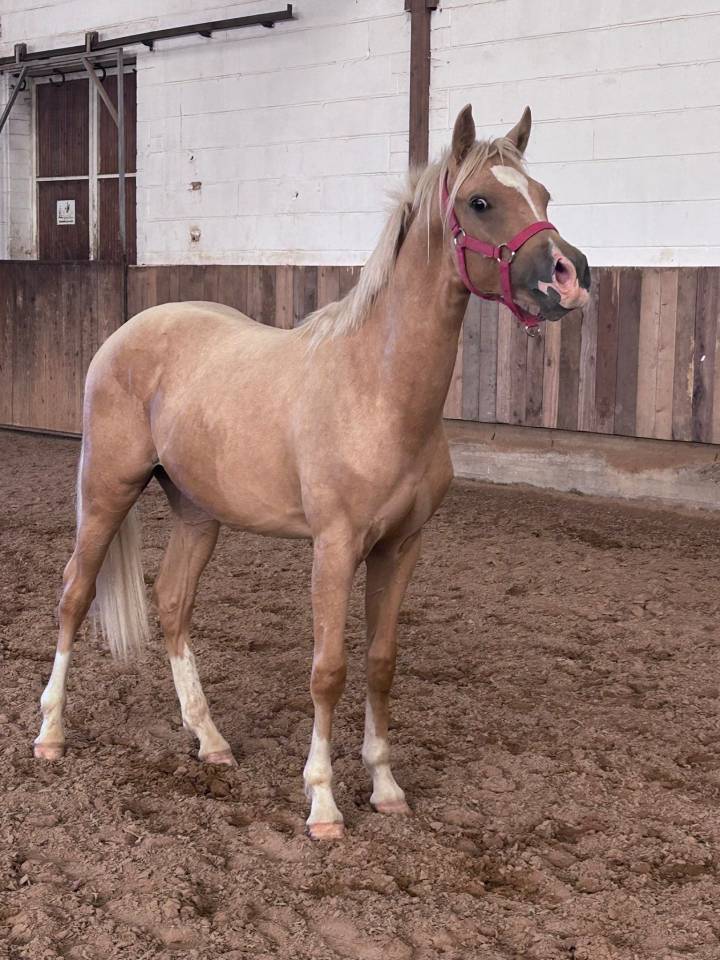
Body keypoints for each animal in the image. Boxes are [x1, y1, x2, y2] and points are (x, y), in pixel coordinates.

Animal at [34, 105, 590, 839]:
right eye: (481, 201)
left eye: (544, 195)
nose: (569, 274)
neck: (377, 388)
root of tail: (125, 335)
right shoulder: (335, 547)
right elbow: (328, 669)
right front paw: (323, 803)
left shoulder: (400, 549)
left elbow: (380, 664)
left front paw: (385, 786)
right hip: (106, 492)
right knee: (74, 593)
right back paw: (50, 734)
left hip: (198, 513)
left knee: (174, 602)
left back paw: (211, 741)